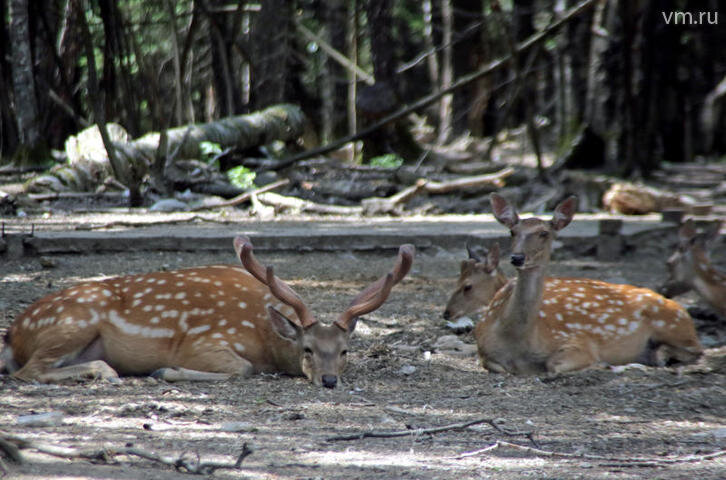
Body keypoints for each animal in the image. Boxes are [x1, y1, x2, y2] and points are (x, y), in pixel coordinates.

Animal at [0, 238, 418, 388]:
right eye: (307, 349)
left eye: (345, 351)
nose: (329, 380)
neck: (265, 339)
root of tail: (14, 332)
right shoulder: (202, 342)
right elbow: (242, 368)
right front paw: (164, 370)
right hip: (75, 321)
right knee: (27, 371)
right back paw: (106, 372)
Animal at [474, 195, 704, 376]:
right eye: (512, 232)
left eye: (544, 233)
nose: (517, 257)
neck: (517, 342)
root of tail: (683, 311)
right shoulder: (485, 352)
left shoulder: (578, 341)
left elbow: (555, 364)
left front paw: (602, 364)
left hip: (673, 326)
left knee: (697, 350)